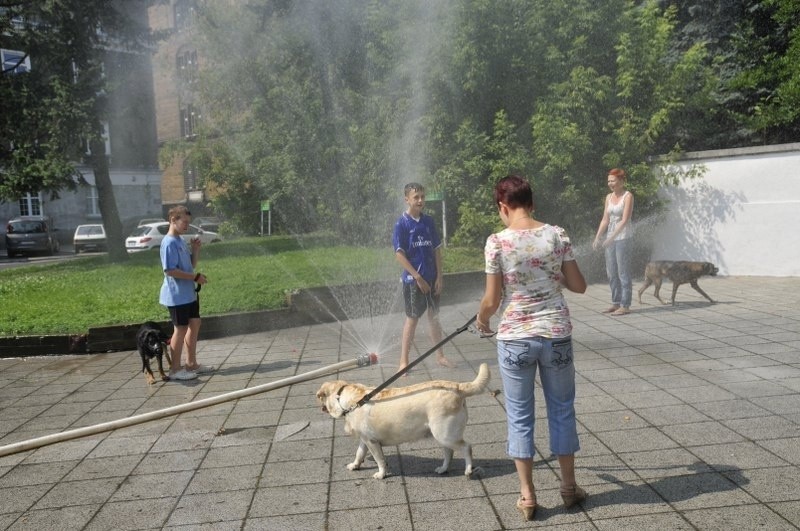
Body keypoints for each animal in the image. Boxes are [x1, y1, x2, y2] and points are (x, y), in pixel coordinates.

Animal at [312, 364, 488, 480]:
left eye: (320, 397)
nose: (318, 404)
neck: (349, 400)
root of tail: (457, 387)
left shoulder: (372, 442)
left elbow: (380, 460)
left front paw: (381, 474)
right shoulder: (365, 439)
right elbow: (359, 453)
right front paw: (355, 465)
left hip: (445, 434)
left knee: (466, 447)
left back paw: (468, 470)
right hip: (441, 434)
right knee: (449, 452)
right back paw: (443, 469)